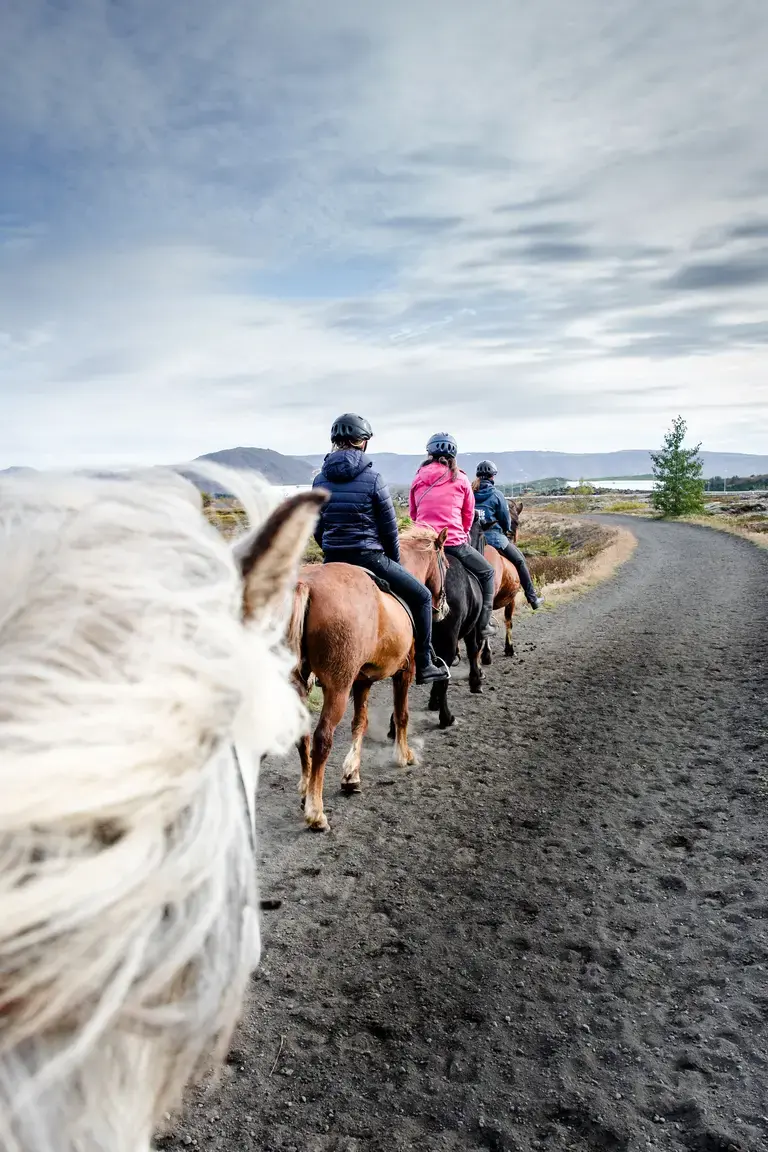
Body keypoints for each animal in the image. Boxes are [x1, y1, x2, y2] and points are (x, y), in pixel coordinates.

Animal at [287, 527, 446, 834]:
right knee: (322, 738)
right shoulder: (404, 672)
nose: (442, 609)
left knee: (303, 735)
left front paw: (352, 775)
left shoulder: (362, 681)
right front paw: (403, 755)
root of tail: (306, 584)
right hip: (337, 687)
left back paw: (305, 790)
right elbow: (402, 715)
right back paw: (316, 812)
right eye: (445, 562)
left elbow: (360, 722)